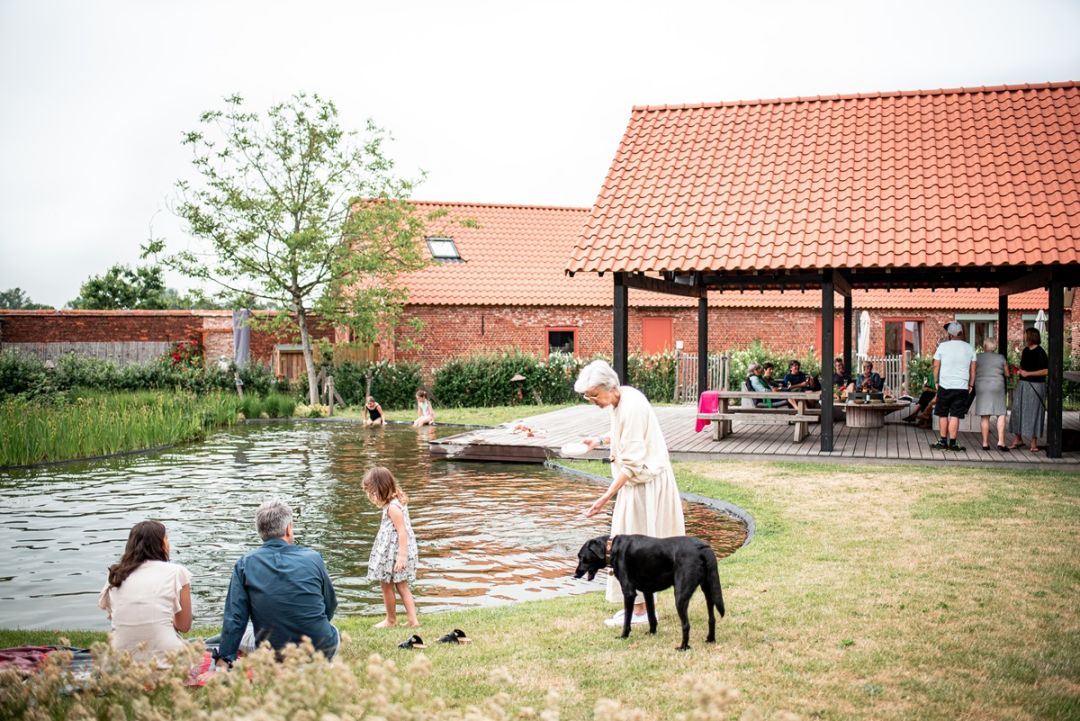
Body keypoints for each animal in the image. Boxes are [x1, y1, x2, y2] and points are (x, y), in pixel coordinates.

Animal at [574, 533, 725, 651]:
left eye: (582, 557)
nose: (575, 575)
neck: (611, 548)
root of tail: (702, 548)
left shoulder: (629, 592)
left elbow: (627, 619)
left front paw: (624, 636)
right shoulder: (648, 591)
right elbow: (651, 616)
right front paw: (652, 633)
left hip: (680, 596)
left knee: (686, 625)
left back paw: (683, 647)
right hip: (708, 590)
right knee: (712, 618)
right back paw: (710, 639)